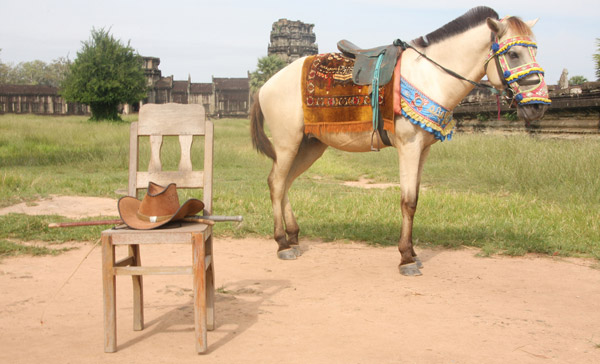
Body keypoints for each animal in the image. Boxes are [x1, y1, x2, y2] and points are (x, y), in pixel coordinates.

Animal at [251, 6, 552, 276]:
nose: (538, 106)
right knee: (276, 182)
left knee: (286, 182)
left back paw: (293, 236)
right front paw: (406, 258)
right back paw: (282, 243)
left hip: (311, 144)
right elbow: (408, 201)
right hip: (287, 141)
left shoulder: (424, 149)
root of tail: (265, 85)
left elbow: (416, 198)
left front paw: (414, 253)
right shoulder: (408, 146)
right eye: (513, 54)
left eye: (536, 51)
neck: (432, 77)